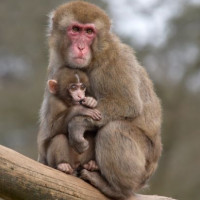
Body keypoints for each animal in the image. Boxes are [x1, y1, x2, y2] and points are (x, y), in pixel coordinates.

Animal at [39, 0, 162, 199]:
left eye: (89, 32)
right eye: (75, 29)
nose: (81, 47)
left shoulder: (114, 60)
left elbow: (127, 104)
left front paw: (78, 123)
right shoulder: (56, 64)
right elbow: (49, 129)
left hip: (142, 168)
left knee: (113, 130)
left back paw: (117, 189)